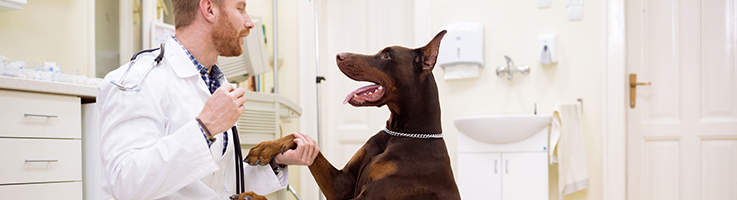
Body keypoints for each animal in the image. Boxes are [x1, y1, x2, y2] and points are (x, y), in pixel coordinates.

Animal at [244, 30, 458, 199]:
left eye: (386, 55)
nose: (339, 55)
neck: (402, 133)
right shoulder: (340, 184)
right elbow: (302, 139)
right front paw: (265, 148)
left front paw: (251, 196)